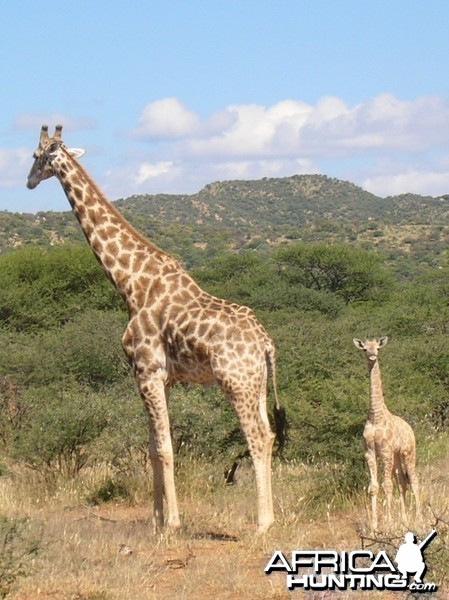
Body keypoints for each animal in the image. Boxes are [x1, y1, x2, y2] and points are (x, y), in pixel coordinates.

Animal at [27, 124, 284, 532]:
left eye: (37, 156)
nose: (28, 181)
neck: (131, 284)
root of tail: (266, 343)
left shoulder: (146, 369)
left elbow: (164, 448)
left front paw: (173, 523)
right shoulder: (160, 378)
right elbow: (151, 448)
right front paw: (156, 518)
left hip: (235, 382)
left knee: (257, 437)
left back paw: (262, 523)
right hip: (255, 383)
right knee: (269, 434)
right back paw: (268, 515)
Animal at [352, 338, 418, 528]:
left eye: (378, 348)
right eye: (365, 349)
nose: (372, 355)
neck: (376, 416)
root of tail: (410, 429)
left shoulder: (386, 451)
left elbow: (387, 485)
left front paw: (388, 524)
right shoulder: (369, 452)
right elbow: (374, 487)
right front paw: (375, 526)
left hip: (408, 452)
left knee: (414, 480)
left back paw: (419, 518)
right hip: (396, 457)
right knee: (402, 481)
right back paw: (404, 520)